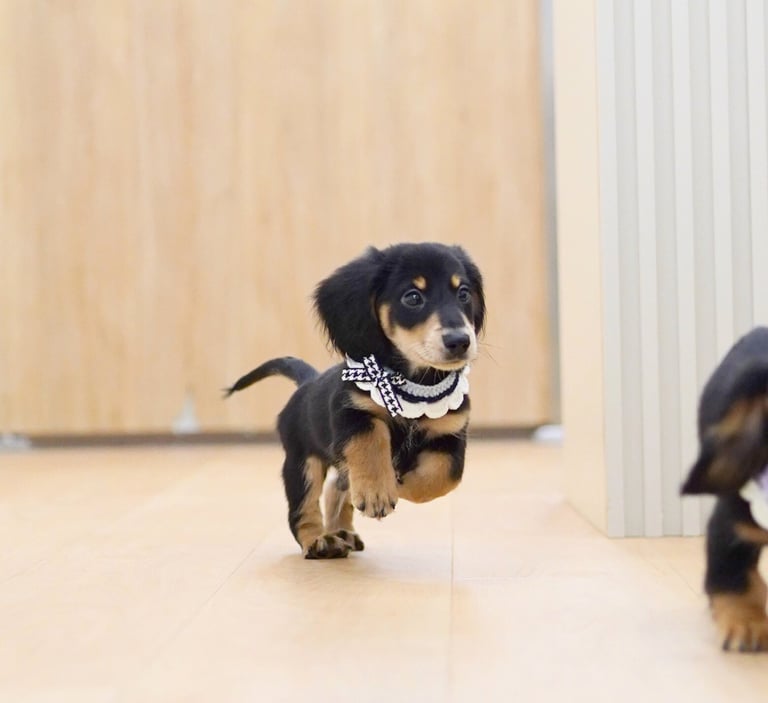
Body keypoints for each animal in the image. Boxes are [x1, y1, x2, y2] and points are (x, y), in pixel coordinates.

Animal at [225, 243, 485, 559]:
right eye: (412, 297)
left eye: (464, 293)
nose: (460, 341)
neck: (414, 386)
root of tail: (308, 382)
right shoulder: (355, 414)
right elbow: (371, 443)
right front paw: (378, 489)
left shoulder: (450, 434)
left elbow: (443, 477)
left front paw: (397, 484)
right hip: (301, 463)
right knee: (303, 509)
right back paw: (319, 540)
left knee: (337, 487)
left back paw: (341, 531)